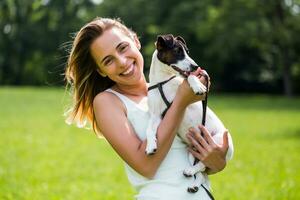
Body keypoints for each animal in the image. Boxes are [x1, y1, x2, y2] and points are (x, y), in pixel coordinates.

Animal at [145, 34, 232, 194]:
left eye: (187, 51)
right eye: (177, 51)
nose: (196, 66)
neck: (163, 81)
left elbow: (189, 77)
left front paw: (198, 86)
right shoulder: (156, 116)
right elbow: (149, 130)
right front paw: (150, 146)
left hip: (216, 141)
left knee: (203, 164)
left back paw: (190, 172)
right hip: (192, 153)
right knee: (202, 172)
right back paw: (193, 183)